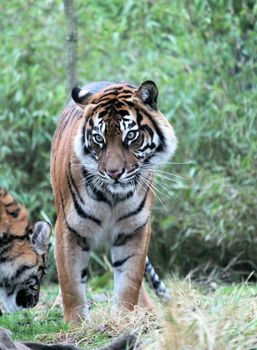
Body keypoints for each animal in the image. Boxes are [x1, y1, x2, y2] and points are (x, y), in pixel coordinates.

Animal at [51, 80, 176, 322]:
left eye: (131, 136)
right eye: (98, 138)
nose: (114, 173)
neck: (112, 197)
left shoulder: (135, 229)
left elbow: (129, 282)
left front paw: (123, 319)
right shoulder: (69, 229)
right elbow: (71, 285)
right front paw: (77, 325)